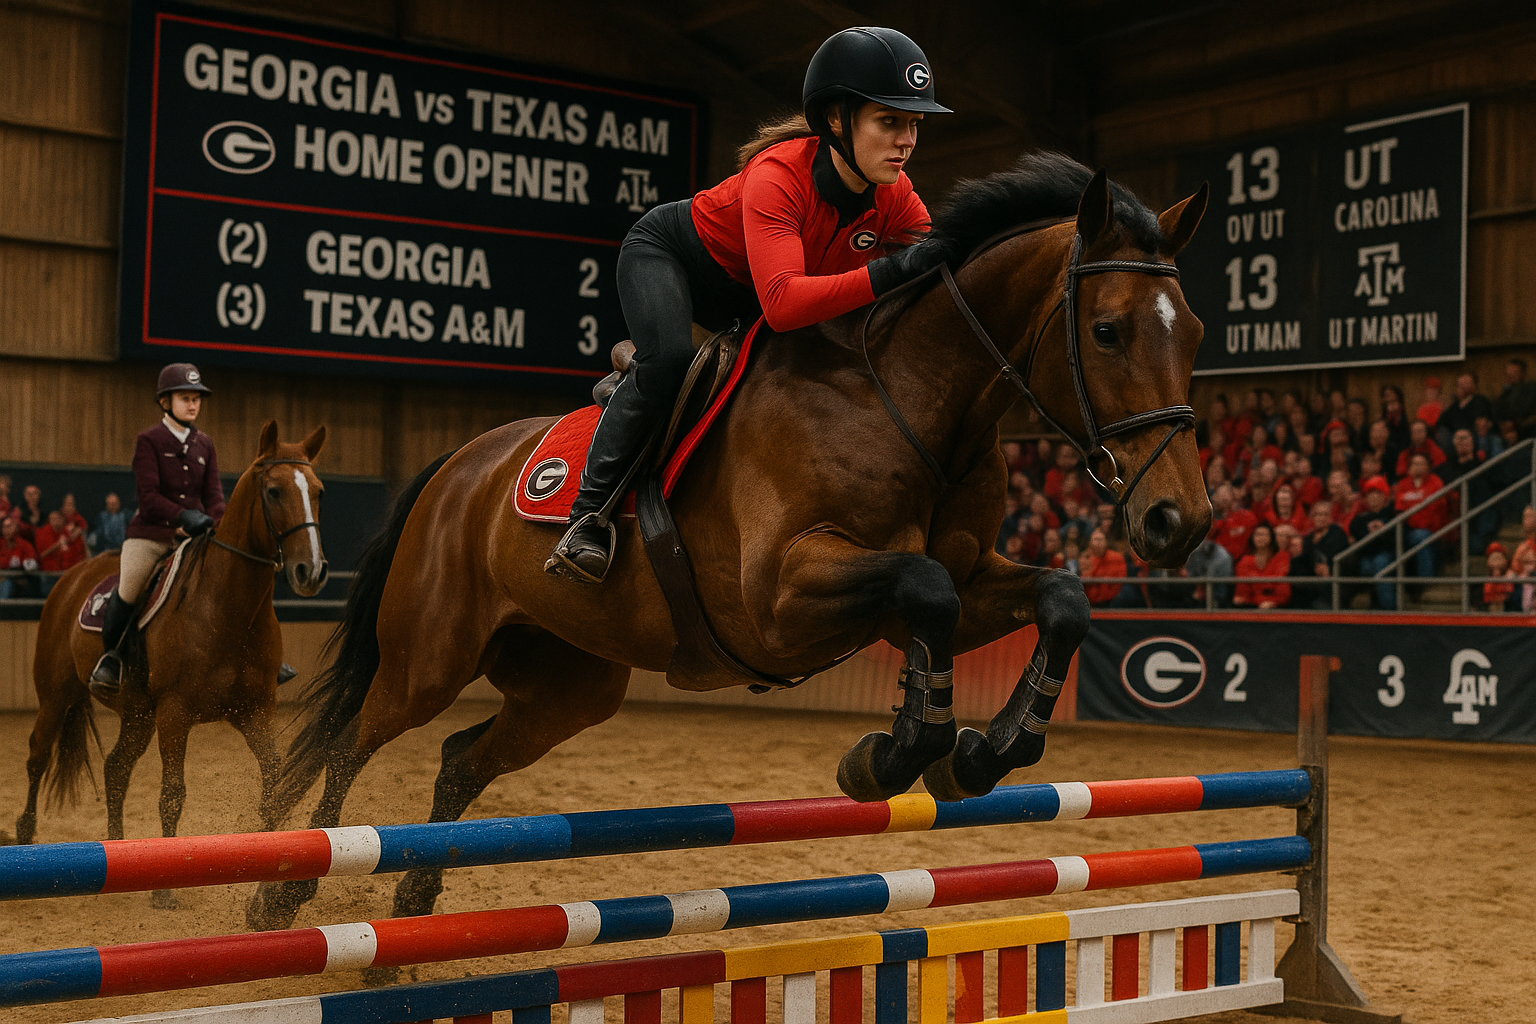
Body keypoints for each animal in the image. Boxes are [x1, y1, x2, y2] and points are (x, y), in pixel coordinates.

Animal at [13, 422, 329, 906]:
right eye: (274, 491)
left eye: (318, 492)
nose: (310, 572)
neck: (229, 608)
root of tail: (73, 576)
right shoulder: (175, 713)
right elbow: (172, 795)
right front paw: (164, 890)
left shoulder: (255, 711)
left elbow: (275, 783)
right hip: (57, 695)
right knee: (38, 757)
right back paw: (27, 836)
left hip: (138, 713)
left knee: (116, 769)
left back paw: (118, 850)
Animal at [246, 153, 1211, 932]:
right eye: (1108, 331)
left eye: (1198, 333)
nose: (1183, 522)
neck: (911, 396)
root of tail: (459, 464)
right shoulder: (780, 598)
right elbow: (924, 589)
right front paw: (890, 756)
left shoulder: (961, 584)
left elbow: (1058, 599)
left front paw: (982, 754)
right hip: (430, 657)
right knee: (353, 741)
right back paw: (282, 895)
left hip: (568, 683)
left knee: (458, 760)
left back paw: (413, 904)